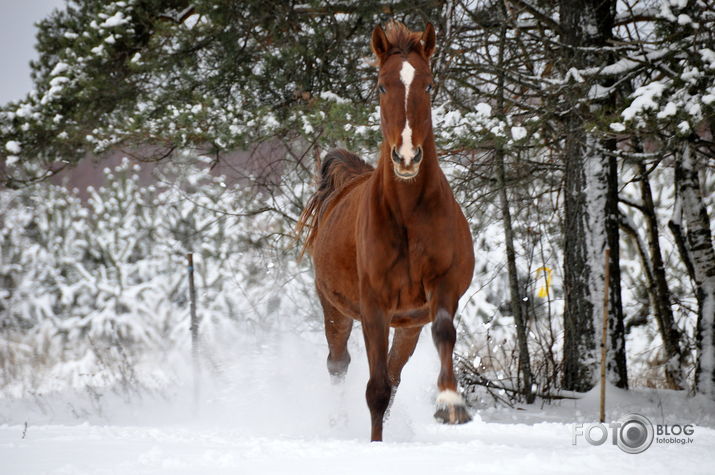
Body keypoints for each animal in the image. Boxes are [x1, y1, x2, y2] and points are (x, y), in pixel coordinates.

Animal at [296, 22, 476, 442]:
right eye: (381, 86)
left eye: (428, 85)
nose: (407, 157)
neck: (408, 215)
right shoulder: (374, 306)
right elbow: (374, 389)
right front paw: (375, 445)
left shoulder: (441, 289)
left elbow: (443, 334)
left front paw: (451, 404)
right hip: (335, 310)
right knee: (338, 363)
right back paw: (337, 423)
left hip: (407, 326)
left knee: (393, 376)